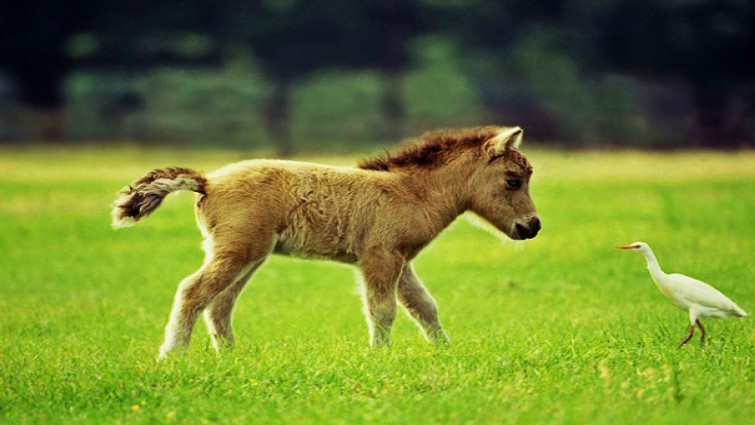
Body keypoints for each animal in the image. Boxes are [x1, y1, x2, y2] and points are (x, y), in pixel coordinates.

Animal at [111, 125, 541, 358]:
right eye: (512, 180)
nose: (532, 226)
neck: (413, 193)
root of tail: (208, 181)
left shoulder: (401, 261)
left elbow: (424, 308)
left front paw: (444, 352)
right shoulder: (380, 257)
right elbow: (382, 311)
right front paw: (379, 357)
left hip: (249, 256)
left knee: (220, 303)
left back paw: (230, 357)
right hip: (238, 252)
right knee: (193, 291)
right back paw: (172, 355)